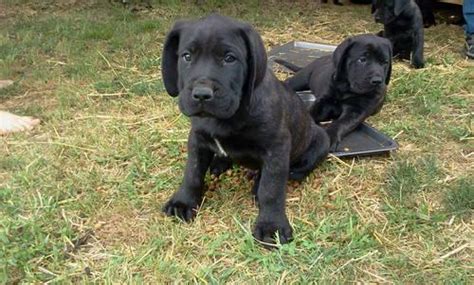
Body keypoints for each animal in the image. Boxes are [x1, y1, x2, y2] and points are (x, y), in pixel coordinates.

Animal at [160, 13, 330, 244]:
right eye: (186, 56)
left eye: (229, 58)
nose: (202, 94)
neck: (225, 117)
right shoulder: (197, 139)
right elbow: (192, 173)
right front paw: (183, 202)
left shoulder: (277, 147)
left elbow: (272, 188)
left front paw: (271, 225)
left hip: (321, 141)